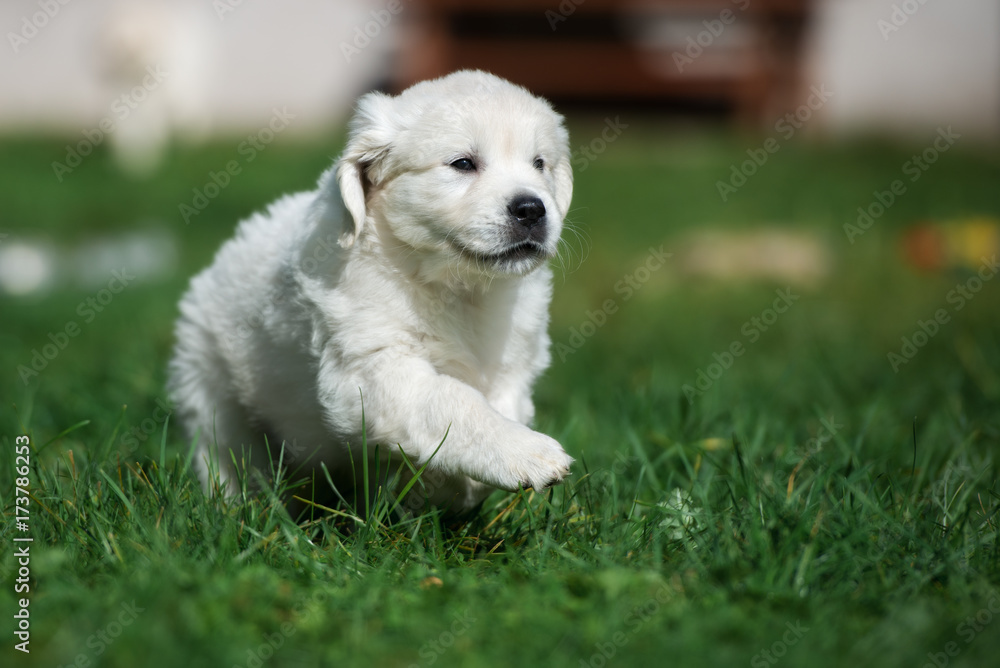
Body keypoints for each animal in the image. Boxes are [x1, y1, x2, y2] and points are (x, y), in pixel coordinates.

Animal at [171, 72, 576, 512]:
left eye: (539, 164)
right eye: (463, 163)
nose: (532, 209)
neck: (456, 287)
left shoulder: (512, 363)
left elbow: (503, 405)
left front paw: (452, 487)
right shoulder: (370, 368)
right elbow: (451, 401)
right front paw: (525, 453)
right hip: (209, 383)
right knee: (227, 455)